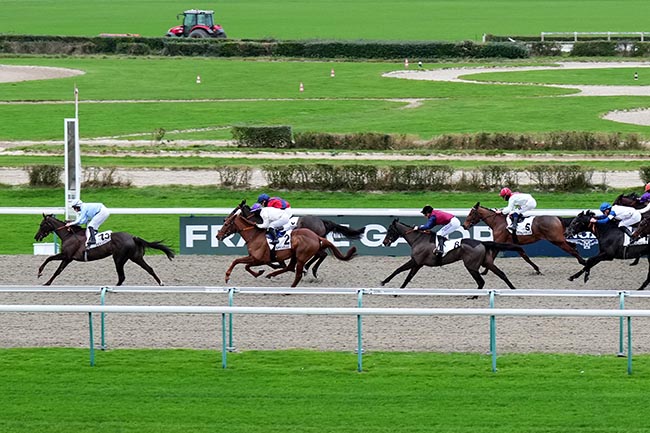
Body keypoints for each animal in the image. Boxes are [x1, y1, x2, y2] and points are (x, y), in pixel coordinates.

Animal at [33, 213, 175, 286]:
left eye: (42, 224)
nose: (36, 236)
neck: (69, 235)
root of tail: (133, 237)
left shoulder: (67, 256)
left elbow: (52, 263)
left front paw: (42, 277)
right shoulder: (68, 257)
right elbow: (54, 264)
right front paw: (44, 278)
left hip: (119, 259)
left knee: (122, 276)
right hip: (135, 257)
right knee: (149, 269)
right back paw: (161, 283)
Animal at [214, 203, 354, 286]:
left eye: (227, 223)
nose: (218, 235)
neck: (255, 235)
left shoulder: (258, 258)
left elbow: (242, 264)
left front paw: (228, 276)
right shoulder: (260, 258)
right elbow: (243, 263)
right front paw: (262, 272)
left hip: (302, 253)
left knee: (320, 255)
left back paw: (308, 270)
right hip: (297, 254)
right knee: (298, 264)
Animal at [380, 219, 520, 290]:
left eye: (390, 230)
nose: (384, 242)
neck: (418, 239)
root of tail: (481, 242)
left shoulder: (416, 261)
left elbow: (399, 270)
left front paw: (384, 282)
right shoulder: (418, 264)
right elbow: (408, 277)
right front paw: (399, 289)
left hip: (471, 266)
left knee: (481, 282)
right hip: (487, 262)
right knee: (501, 274)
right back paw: (513, 289)